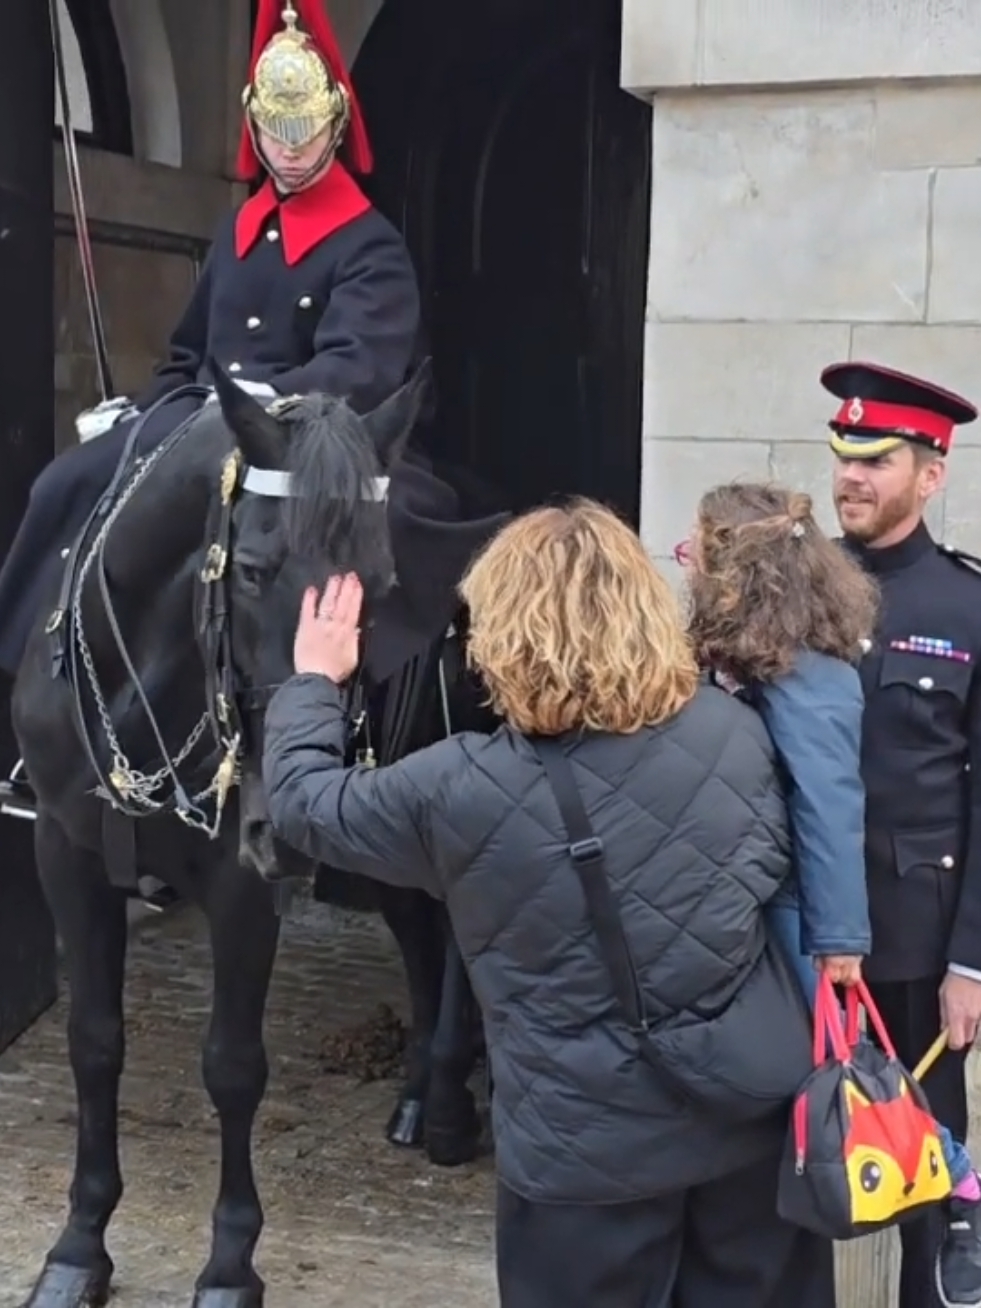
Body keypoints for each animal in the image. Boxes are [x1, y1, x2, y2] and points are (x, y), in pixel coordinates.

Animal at [11, 368, 507, 1308]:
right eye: (249, 570)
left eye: (381, 581)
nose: (289, 823)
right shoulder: (66, 854)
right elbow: (93, 1042)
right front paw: (79, 1246)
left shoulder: (244, 886)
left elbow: (233, 1067)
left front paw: (230, 1265)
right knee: (421, 935)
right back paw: (421, 1095)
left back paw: (448, 1103)